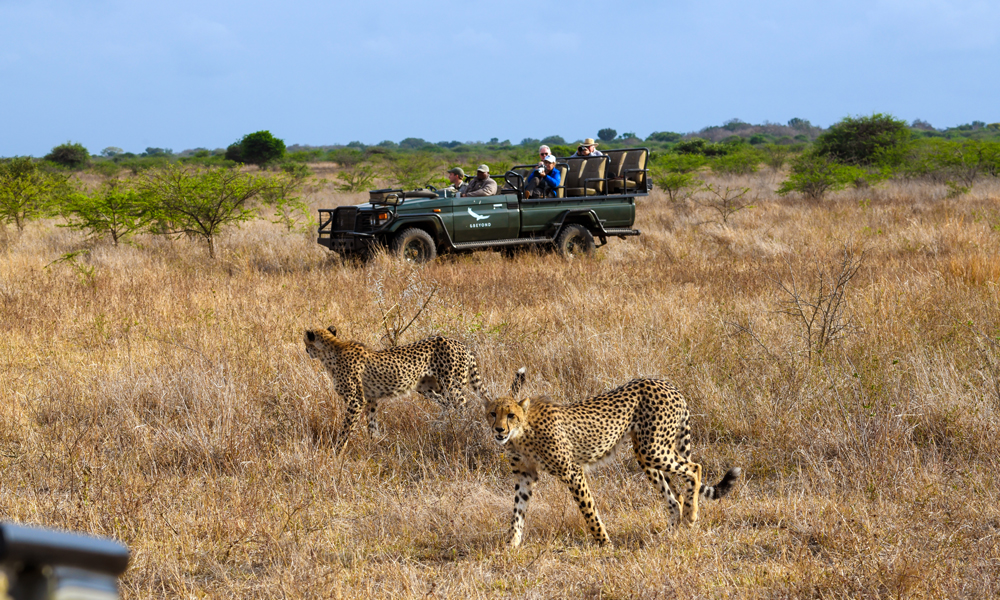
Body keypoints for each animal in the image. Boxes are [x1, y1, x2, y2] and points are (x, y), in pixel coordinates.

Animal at [304, 326, 484, 452]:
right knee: (447, 405)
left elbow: (346, 429)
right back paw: (440, 426)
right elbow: (371, 423)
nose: (306, 350)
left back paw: (465, 429)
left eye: (306, 343)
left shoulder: (356, 401)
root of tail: (461, 344)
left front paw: (337, 451)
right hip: (426, 387)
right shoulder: (371, 399)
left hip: (452, 386)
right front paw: (375, 443)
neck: (332, 351)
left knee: (463, 406)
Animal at [486, 366, 744, 548]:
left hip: (653, 449)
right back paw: (670, 534)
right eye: (492, 413)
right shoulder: (524, 475)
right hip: (646, 453)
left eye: (510, 415)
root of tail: (667, 384)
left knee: (694, 468)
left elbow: (589, 509)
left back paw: (691, 516)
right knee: (674, 497)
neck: (522, 432)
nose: (498, 430)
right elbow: (517, 511)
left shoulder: (572, 472)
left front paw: (605, 543)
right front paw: (511, 544)